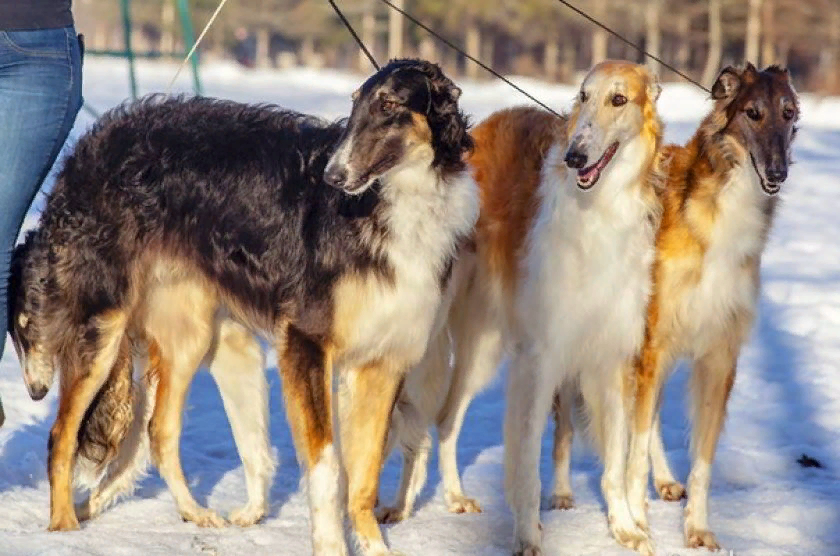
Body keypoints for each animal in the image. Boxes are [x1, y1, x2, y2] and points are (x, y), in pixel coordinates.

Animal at [24, 57, 480, 556]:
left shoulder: (383, 361)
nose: (331, 177)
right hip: (102, 328)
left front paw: (374, 546)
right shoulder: (306, 343)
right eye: (355, 103)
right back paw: (64, 527)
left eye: (391, 105)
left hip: (189, 335)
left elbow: (364, 476)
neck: (390, 202)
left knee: (159, 433)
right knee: (61, 435)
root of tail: (88, 145)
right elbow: (328, 467)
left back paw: (194, 513)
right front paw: (331, 544)